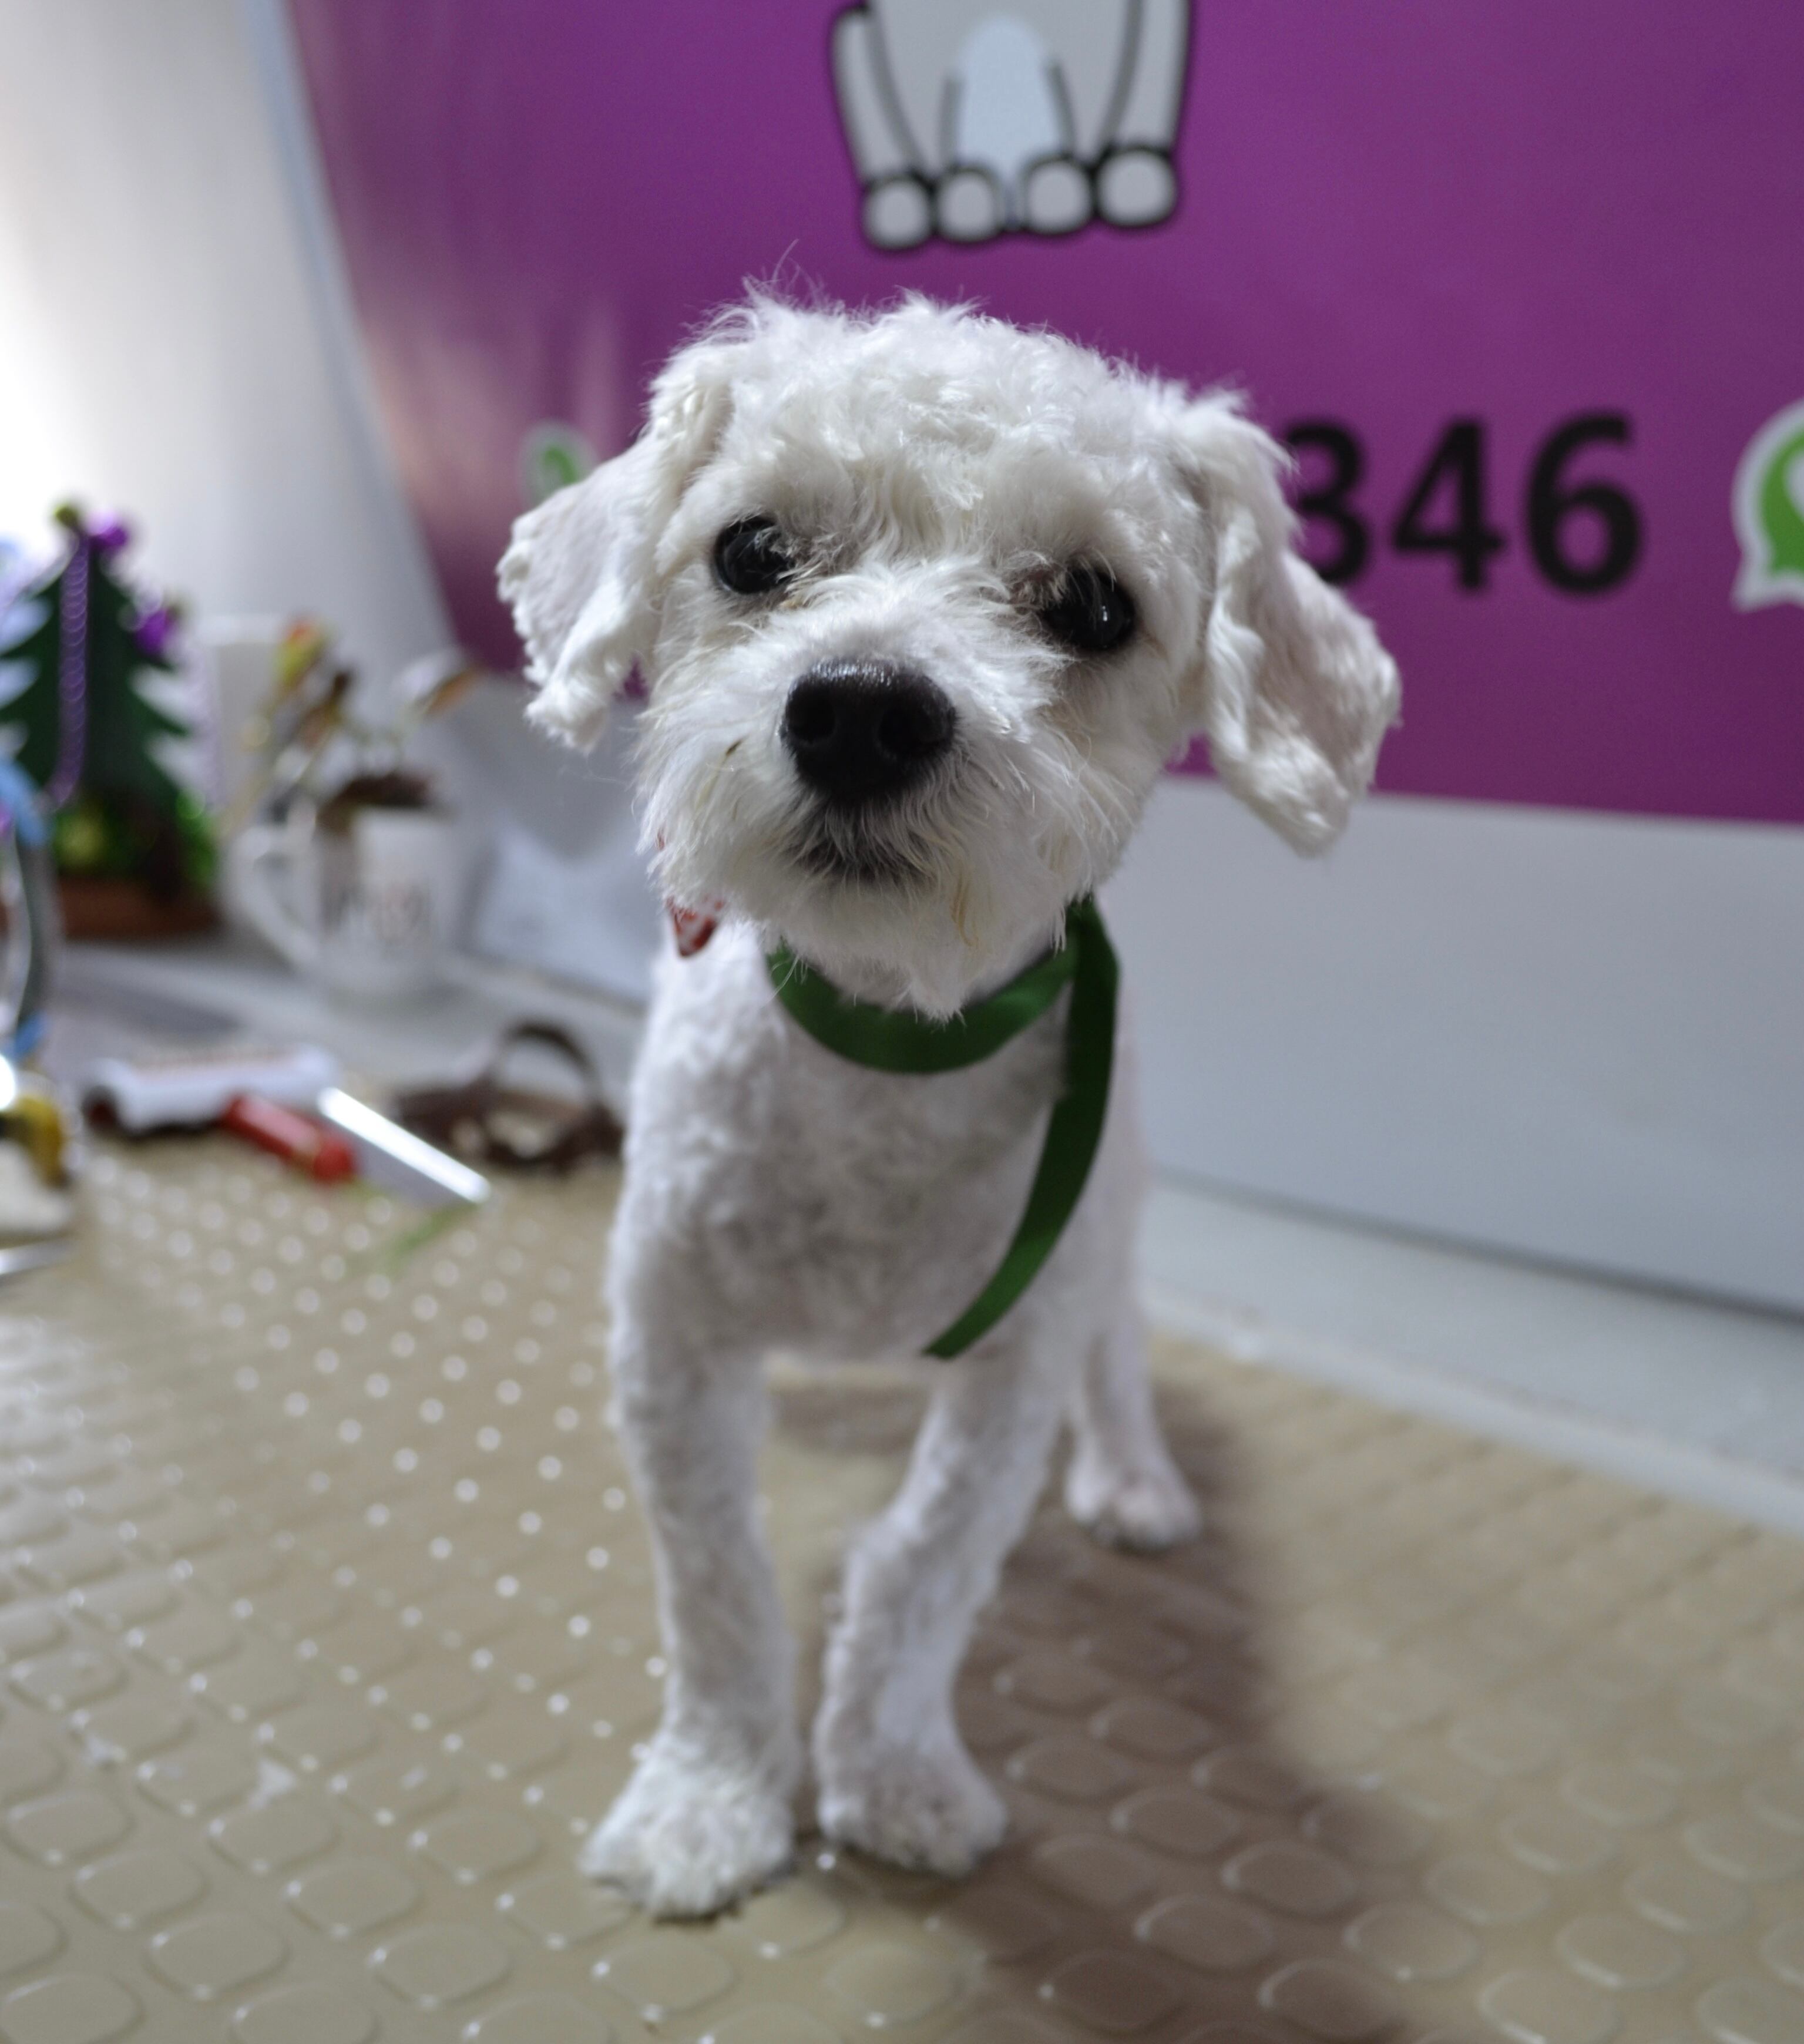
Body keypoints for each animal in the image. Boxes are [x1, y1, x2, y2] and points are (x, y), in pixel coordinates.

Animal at [499, 296, 1399, 1921]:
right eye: (750, 550)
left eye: (1094, 607)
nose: (861, 713)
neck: (884, 1045)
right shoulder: (670, 1348)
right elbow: (714, 1589)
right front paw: (708, 1799)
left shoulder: (1011, 1373)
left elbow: (923, 1566)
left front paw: (894, 1773)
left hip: (1109, 1235)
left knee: (1121, 1360)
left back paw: (1132, 1478)